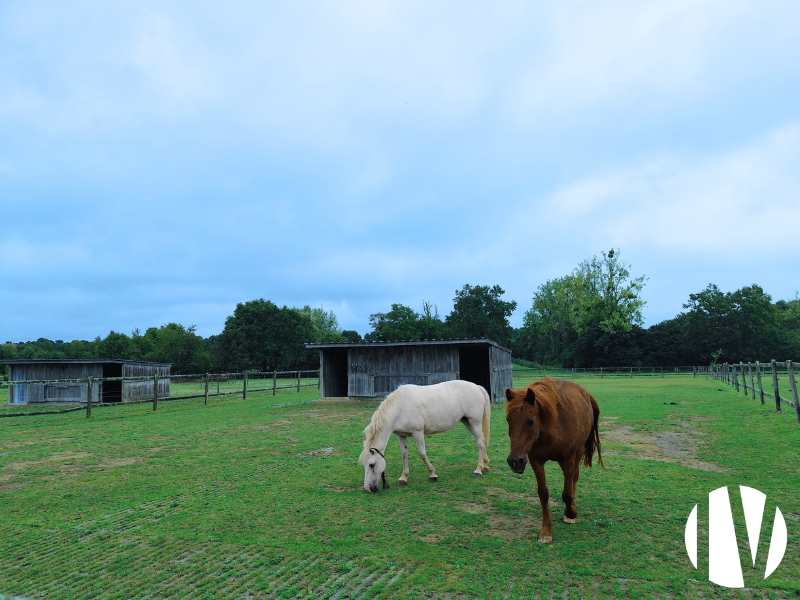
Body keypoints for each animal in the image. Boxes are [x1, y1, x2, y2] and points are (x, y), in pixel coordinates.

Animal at [360, 380, 490, 492]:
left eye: (372, 464)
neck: (400, 408)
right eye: (364, 465)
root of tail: (477, 386)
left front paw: (432, 475)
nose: (368, 489)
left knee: (480, 442)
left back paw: (478, 470)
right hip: (467, 422)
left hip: (475, 422)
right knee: (482, 440)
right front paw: (403, 478)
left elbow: (422, 454)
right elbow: (404, 454)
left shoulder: (417, 433)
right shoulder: (401, 435)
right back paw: (485, 465)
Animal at [506, 380, 600, 544]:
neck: (552, 428)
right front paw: (546, 531)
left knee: (574, 479)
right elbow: (543, 494)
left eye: (531, 421)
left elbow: (567, 494)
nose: (515, 461)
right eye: (508, 420)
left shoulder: (569, 458)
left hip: (578, 453)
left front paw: (571, 513)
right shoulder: (535, 460)